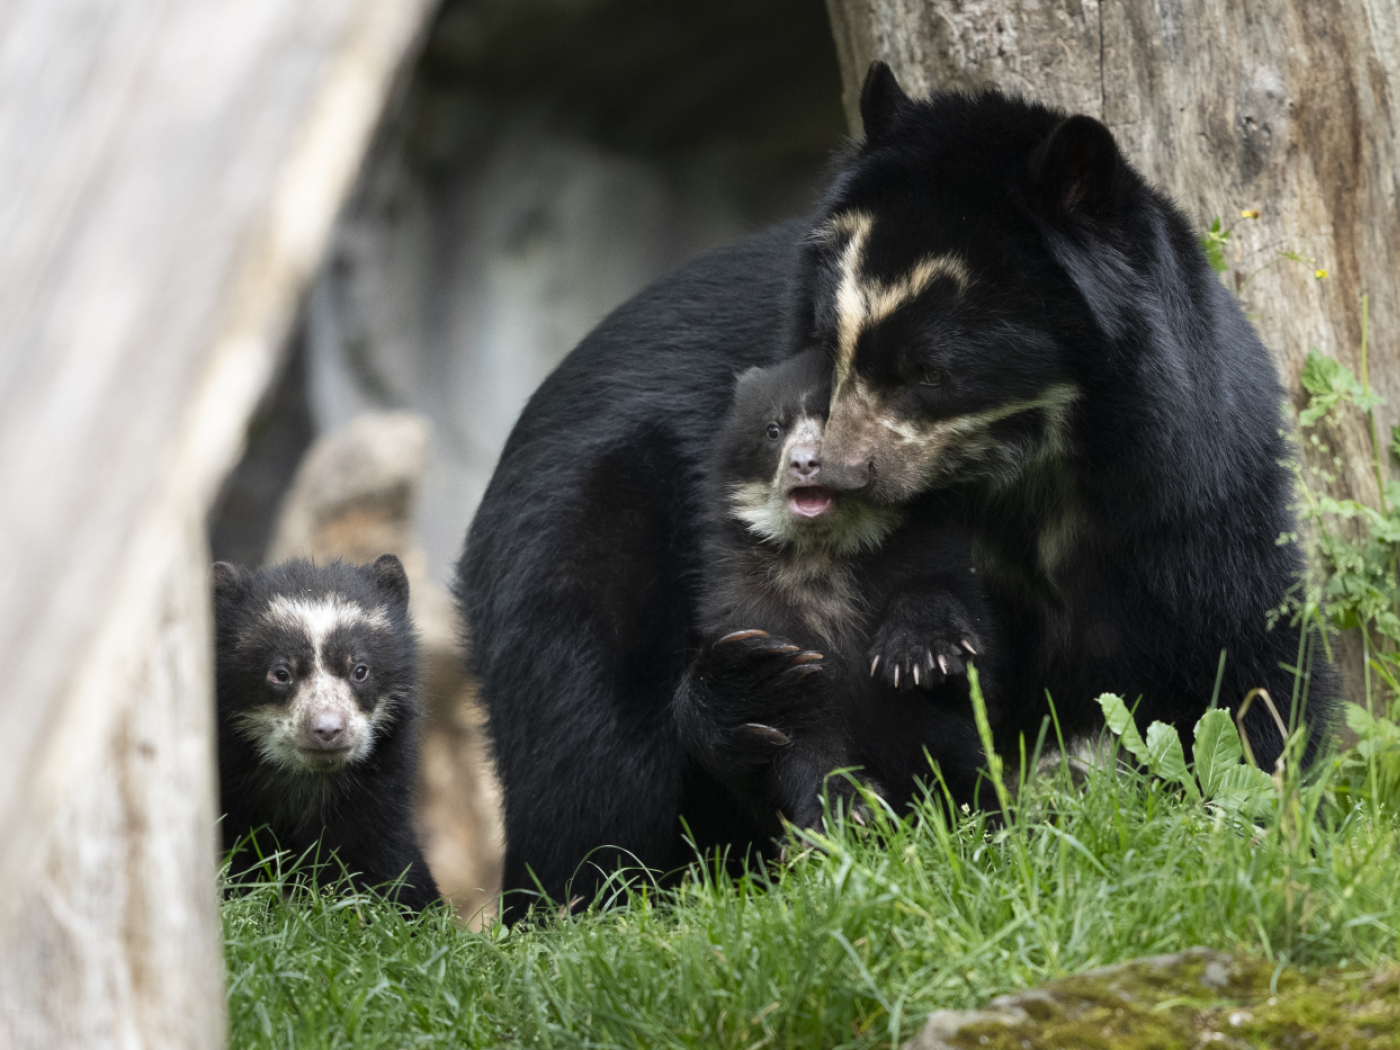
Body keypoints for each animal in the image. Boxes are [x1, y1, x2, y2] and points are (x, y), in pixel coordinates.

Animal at [673, 347, 995, 832]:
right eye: (773, 429)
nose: (807, 463)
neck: (822, 556)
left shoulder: (939, 557)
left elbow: (972, 683)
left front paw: (918, 650)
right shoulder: (742, 596)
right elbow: (798, 739)